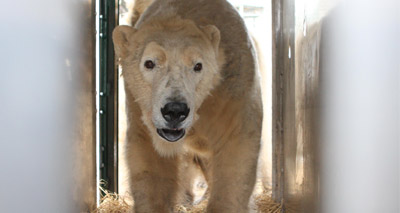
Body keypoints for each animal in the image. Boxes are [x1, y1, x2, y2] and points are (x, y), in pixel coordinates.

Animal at [112, 0, 262, 211]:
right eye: (149, 63)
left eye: (198, 66)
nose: (175, 111)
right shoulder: (139, 110)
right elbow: (151, 165)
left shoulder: (231, 93)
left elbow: (235, 150)